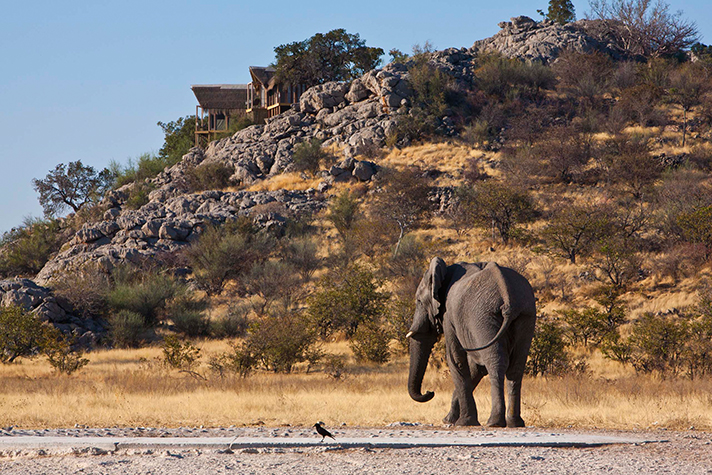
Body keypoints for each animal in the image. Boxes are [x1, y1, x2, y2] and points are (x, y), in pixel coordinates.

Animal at [406, 257, 536, 427]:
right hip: (525, 315)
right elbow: (476, 368)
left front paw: (463, 422)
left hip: (482, 317)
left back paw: (494, 422)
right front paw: (449, 420)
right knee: (516, 366)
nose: (430, 392)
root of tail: (506, 294)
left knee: (495, 362)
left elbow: (455, 359)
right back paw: (515, 422)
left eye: (419, 301)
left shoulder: (448, 316)